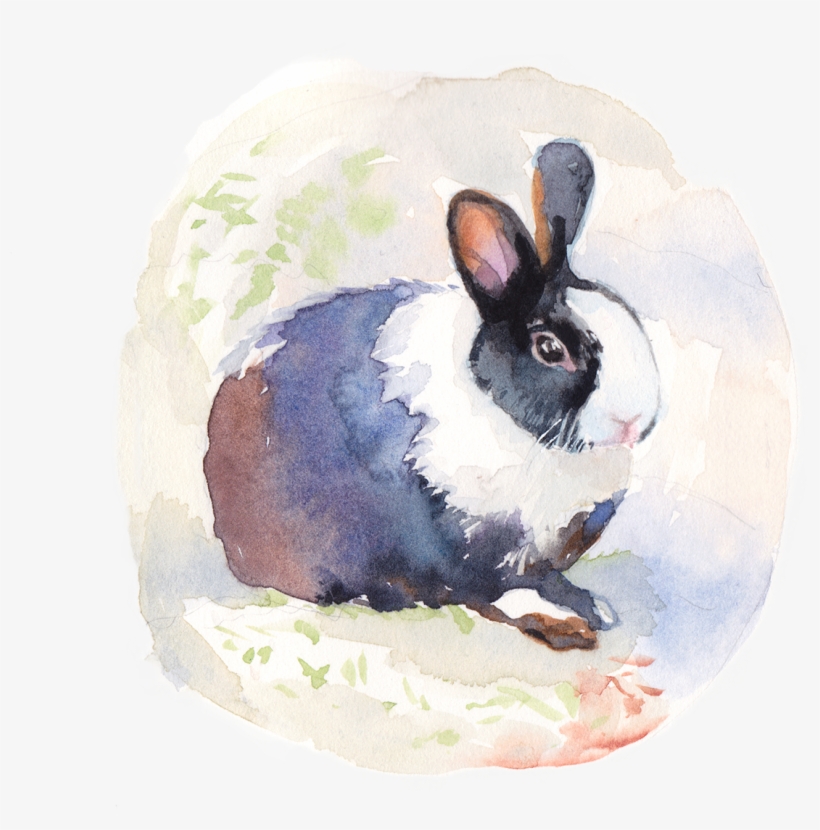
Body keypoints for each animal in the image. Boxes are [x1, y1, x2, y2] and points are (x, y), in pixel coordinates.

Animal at [204, 140, 661, 650]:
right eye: (549, 349)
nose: (634, 422)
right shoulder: (459, 549)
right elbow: (499, 593)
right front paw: (566, 622)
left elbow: (544, 579)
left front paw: (593, 607)